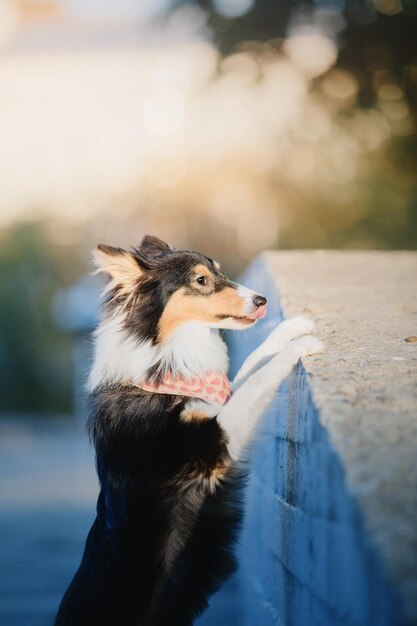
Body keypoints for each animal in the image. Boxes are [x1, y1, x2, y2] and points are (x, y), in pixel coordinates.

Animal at [54, 235, 322, 624]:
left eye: (219, 271)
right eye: (200, 281)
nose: (262, 301)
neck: (166, 356)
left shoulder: (214, 402)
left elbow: (253, 364)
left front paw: (291, 329)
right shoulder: (208, 445)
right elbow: (257, 381)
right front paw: (301, 345)